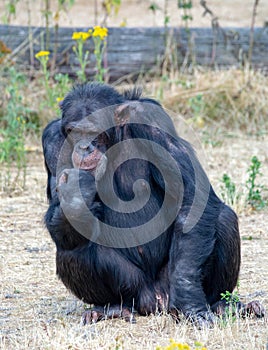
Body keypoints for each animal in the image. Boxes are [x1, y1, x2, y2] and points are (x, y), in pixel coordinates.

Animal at [43, 82, 264, 326]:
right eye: (74, 132)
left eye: (92, 132)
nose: (83, 147)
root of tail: (156, 300)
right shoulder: (53, 142)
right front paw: (75, 195)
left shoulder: (151, 120)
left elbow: (192, 197)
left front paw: (191, 303)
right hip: (133, 288)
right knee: (72, 247)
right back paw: (111, 308)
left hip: (168, 285)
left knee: (224, 218)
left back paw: (220, 305)